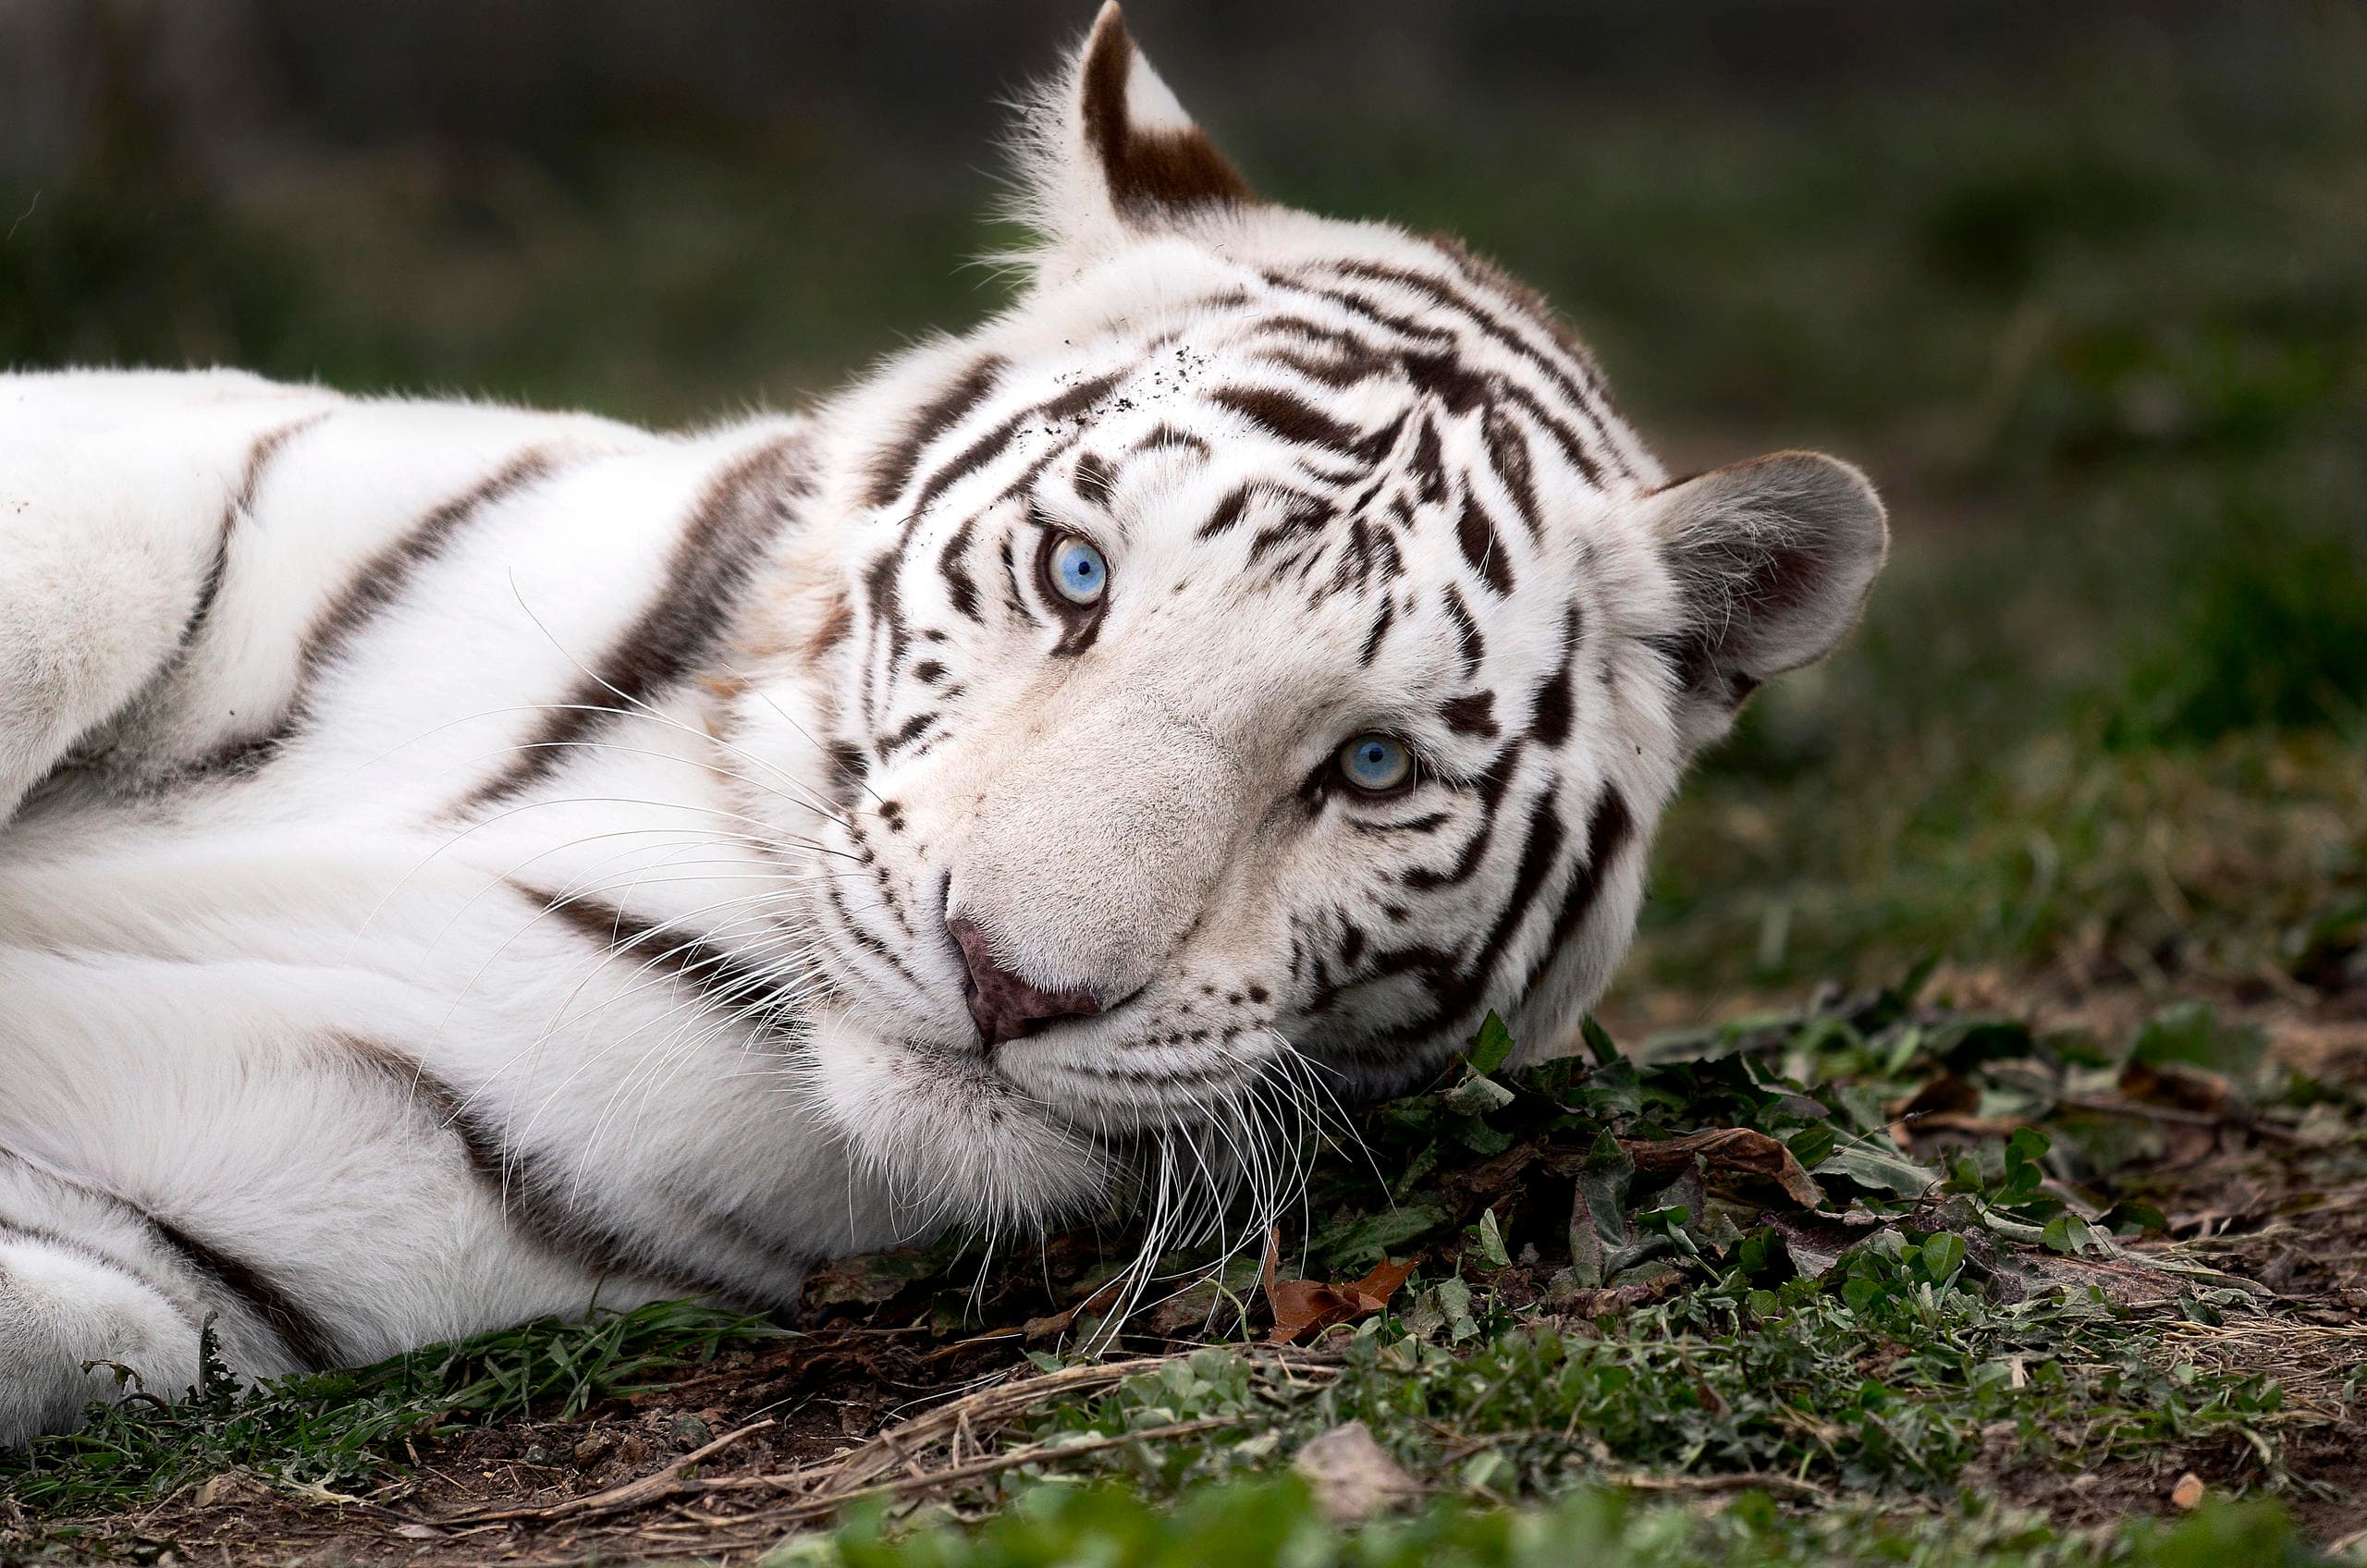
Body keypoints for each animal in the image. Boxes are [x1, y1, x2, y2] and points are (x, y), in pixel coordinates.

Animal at [0, 3, 1885, 1443]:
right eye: (1076, 572)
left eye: (1371, 766)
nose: (1011, 983)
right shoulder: (170, 463)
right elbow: (57, 602)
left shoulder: (202, 1247)